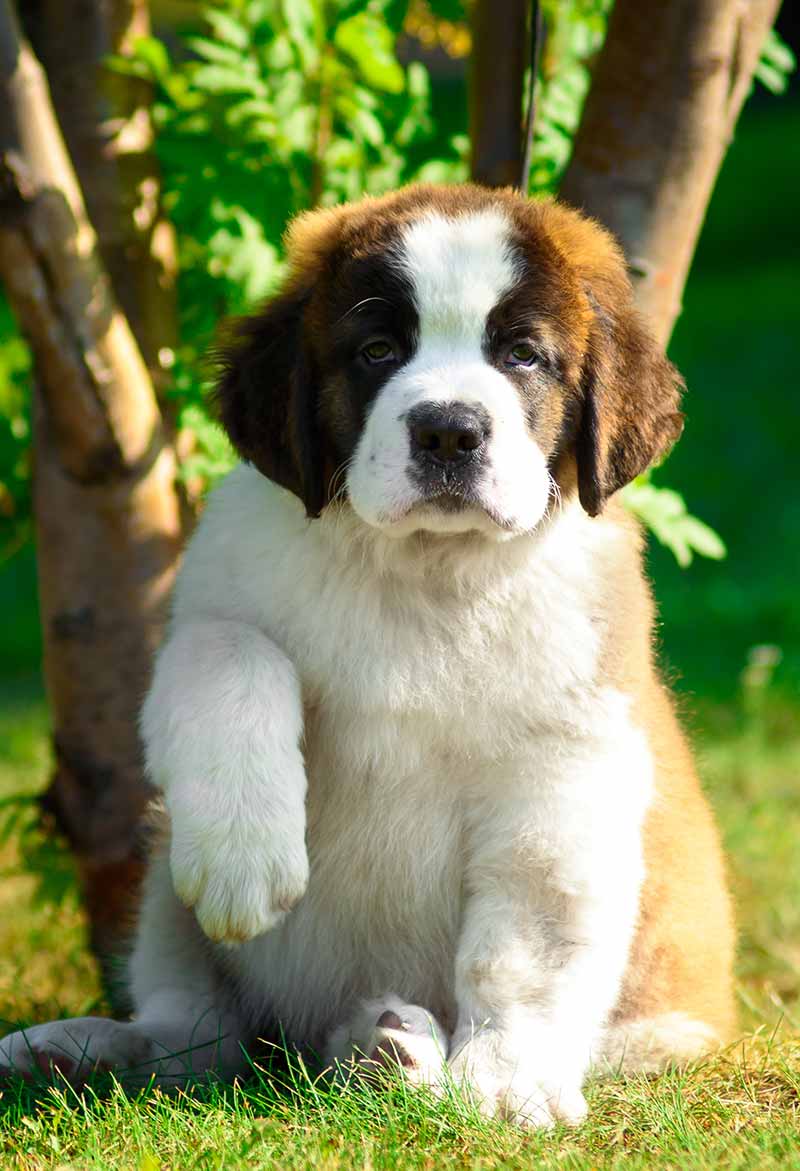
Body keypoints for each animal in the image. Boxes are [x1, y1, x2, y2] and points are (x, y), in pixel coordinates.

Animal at [1, 182, 740, 1124]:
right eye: (379, 351)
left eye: (524, 356)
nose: (451, 431)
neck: (425, 571)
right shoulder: (211, 603)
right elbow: (232, 653)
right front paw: (246, 853)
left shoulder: (564, 761)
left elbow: (526, 942)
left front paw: (507, 1080)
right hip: (167, 897)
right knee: (194, 1035)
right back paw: (86, 1051)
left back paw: (386, 1051)